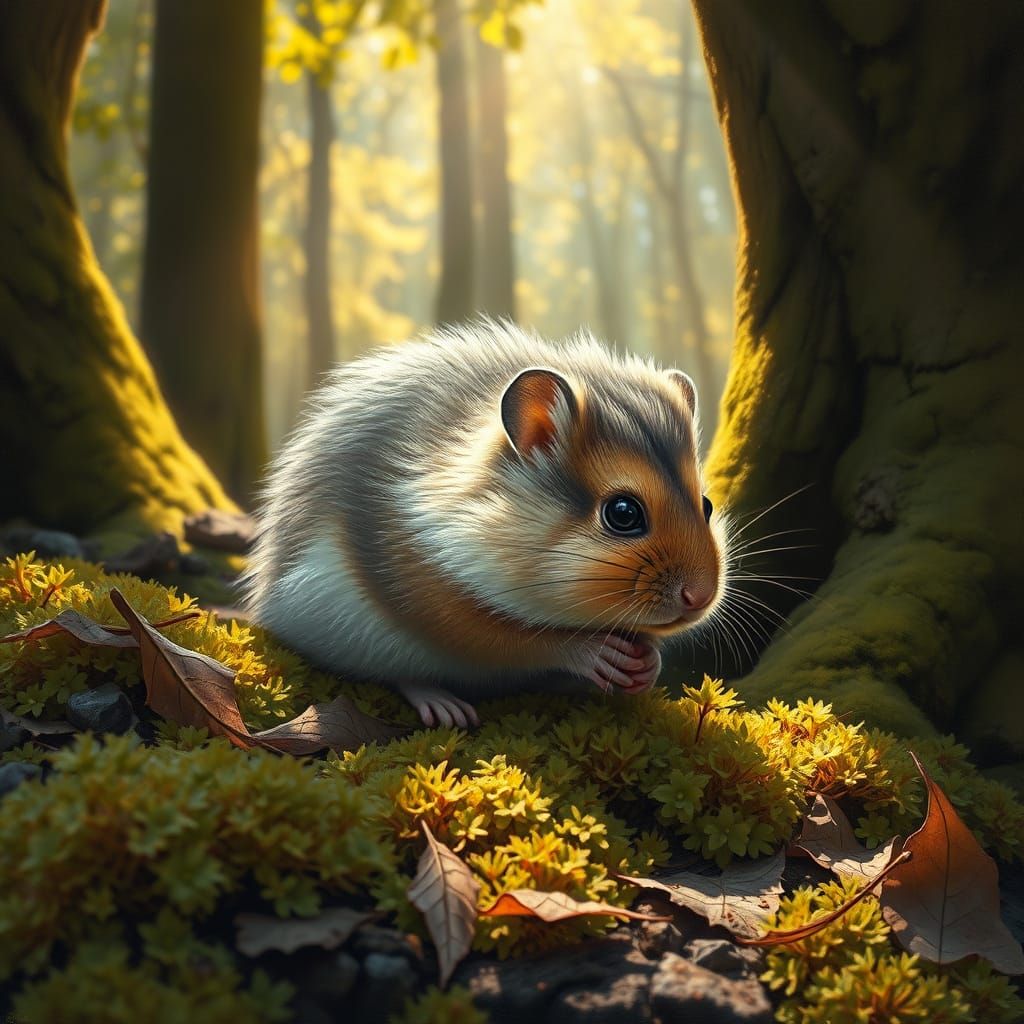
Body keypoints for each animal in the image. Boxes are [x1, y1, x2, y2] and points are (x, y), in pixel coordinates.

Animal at [243, 320, 726, 729]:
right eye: (622, 513)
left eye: (706, 505)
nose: (700, 598)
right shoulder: (424, 584)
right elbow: (513, 637)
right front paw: (598, 654)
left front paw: (649, 666)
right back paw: (447, 709)